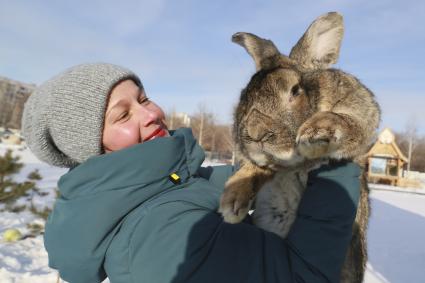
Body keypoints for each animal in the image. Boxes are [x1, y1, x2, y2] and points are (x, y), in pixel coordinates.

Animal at [220, 11, 380, 283]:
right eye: (244, 95)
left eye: (295, 90)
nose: (255, 133)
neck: (297, 165)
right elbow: (259, 167)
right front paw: (233, 201)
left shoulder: (362, 113)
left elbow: (350, 123)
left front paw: (318, 130)